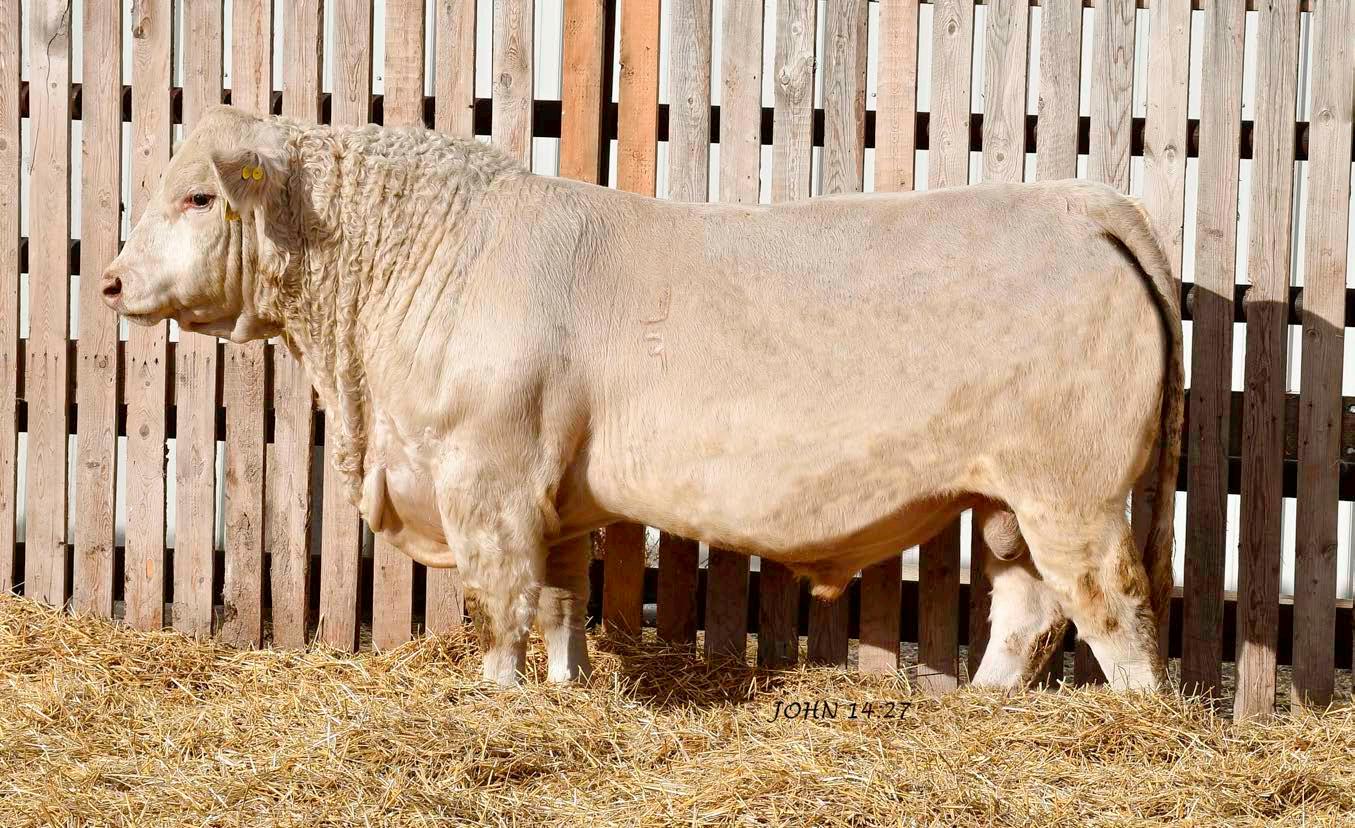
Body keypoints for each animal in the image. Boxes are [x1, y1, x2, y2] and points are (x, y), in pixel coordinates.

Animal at [102, 105, 1182, 690]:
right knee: (1027, 609)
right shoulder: (557, 500)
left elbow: (501, 606)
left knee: (1113, 608)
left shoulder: (486, 478)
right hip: (1007, 496)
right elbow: (559, 604)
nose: (109, 281)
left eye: (199, 196)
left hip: (1070, 490)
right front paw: (566, 686)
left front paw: (498, 699)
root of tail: (1085, 203)